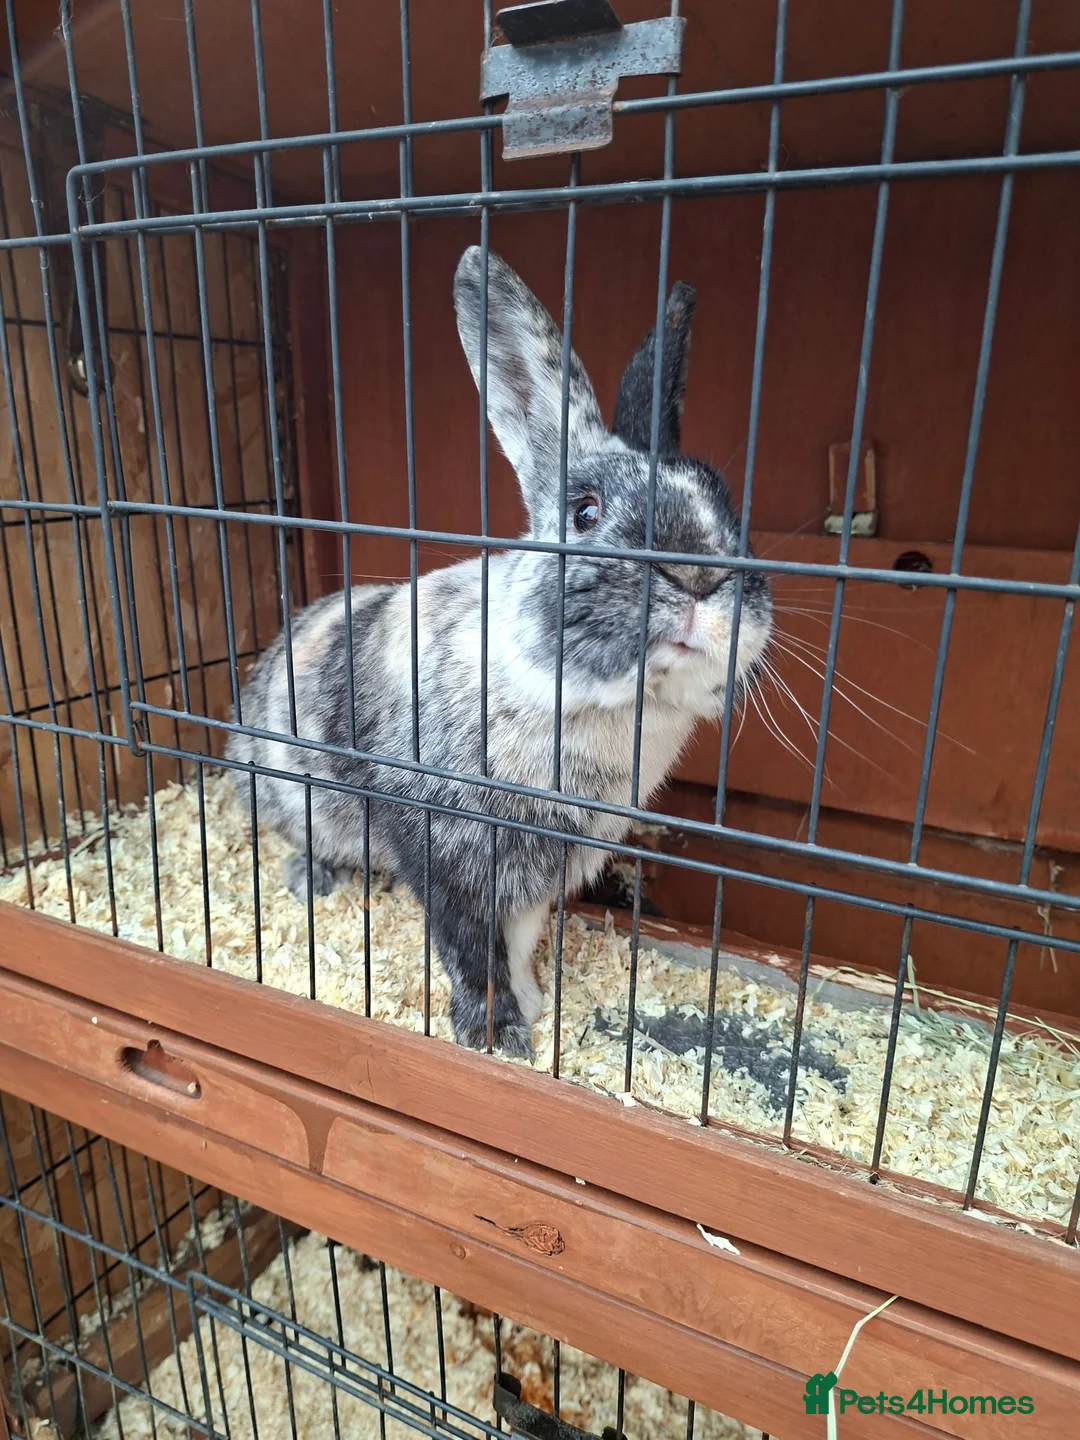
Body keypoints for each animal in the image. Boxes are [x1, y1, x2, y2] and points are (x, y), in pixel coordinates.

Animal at [226, 246, 773, 1057]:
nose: (702, 577)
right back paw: (314, 880)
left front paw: (535, 1005)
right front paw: (497, 1038)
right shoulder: (447, 848)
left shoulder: (542, 871)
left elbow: (515, 940)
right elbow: (468, 949)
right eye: (585, 514)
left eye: (729, 503)